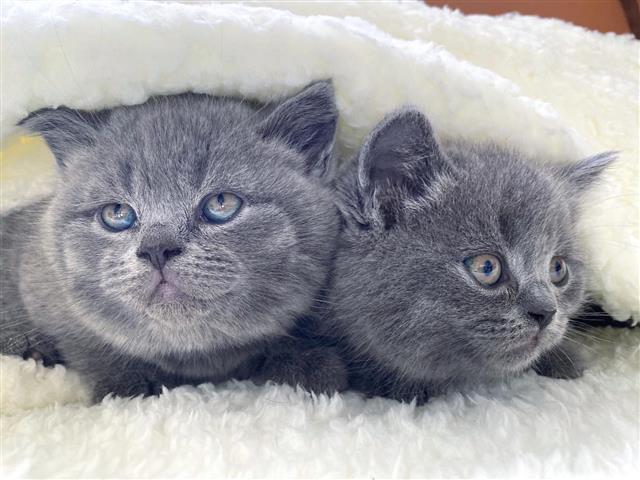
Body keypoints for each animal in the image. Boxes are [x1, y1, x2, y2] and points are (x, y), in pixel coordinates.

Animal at [0, 80, 348, 400]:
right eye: (117, 213)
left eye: (221, 203)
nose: (157, 249)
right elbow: (90, 346)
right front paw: (128, 385)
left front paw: (306, 366)